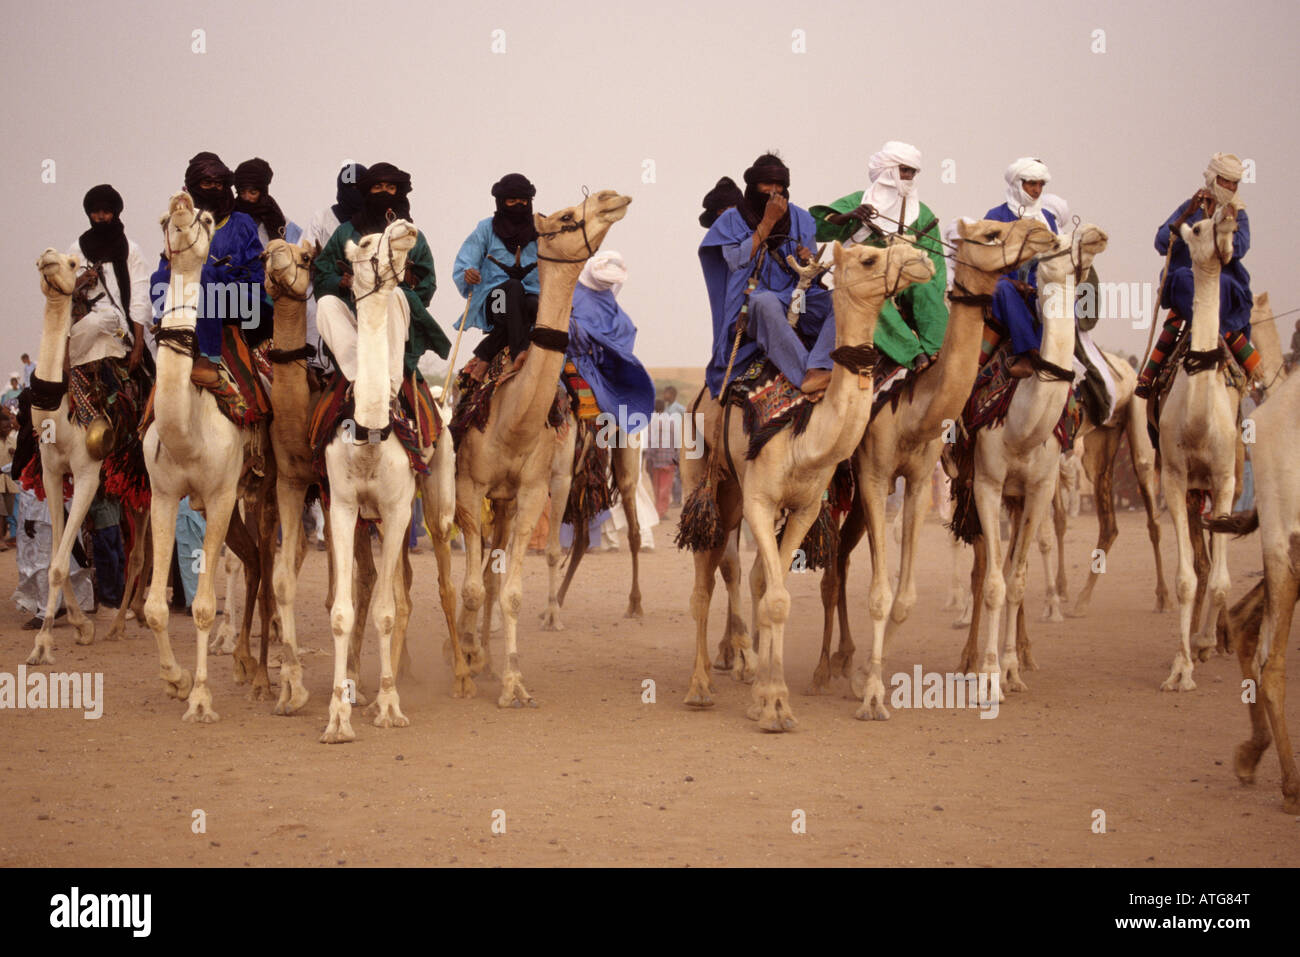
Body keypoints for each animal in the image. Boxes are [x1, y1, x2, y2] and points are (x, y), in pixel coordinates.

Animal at [454, 188, 631, 712]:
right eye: (568, 217)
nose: (613, 197)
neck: (511, 422)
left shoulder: (533, 490)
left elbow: (509, 589)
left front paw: (512, 680)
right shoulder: (469, 487)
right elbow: (470, 586)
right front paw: (466, 663)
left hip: (515, 498)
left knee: (498, 569)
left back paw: (488, 656)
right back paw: (469, 652)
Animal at [681, 235, 935, 728]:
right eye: (871, 258)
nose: (923, 261)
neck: (805, 438)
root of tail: (700, 398)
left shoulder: (804, 507)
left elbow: (775, 596)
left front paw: (769, 698)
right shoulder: (761, 501)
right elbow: (775, 596)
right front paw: (775, 707)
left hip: (735, 495)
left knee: (743, 573)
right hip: (702, 478)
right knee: (703, 584)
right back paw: (699, 688)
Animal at [800, 218, 1055, 712]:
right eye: (992, 234)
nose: (1040, 231)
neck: (915, 410)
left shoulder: (918, 480)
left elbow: (903, 598)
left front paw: (868, 677)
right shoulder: (875, 475)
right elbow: (879, 592)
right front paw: (872, 694)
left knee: (842, 560)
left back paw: (846, 659)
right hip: (842, 488)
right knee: (833, 569)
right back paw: (818, 669)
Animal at [956, 227, 1107, 696]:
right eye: (1057, 240)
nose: (1094, 235)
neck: (1021, 427)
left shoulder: (1039, 489)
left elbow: (1018, 581)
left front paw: (1009, 667)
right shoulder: (986, 485)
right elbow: (992, 583)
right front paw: (988, 672)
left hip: (1020, 498)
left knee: (1011, 567)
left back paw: (1024, 655)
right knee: (983, 570)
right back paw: (968, 660)